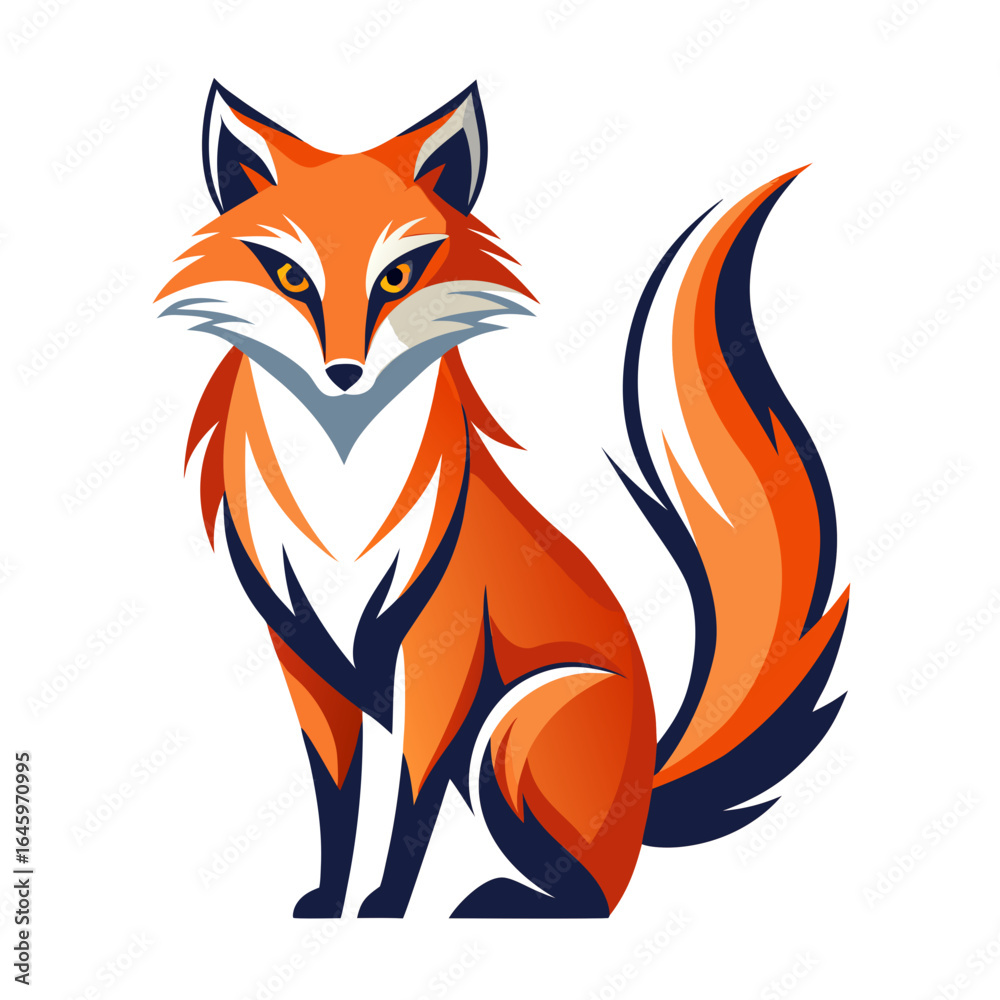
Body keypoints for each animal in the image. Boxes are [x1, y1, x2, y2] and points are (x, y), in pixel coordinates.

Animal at [156, 80, 849, 919]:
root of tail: (648, 785)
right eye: (293, 279)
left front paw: (386, 907)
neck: (343, 496)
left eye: (397, 277)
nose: (344, 374)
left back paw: (508, 898)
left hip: (512, 727)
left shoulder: (442, 654)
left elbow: (409, 800)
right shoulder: (303, 654)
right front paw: (329, 900)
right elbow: (336, 796)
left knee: (599, 894)